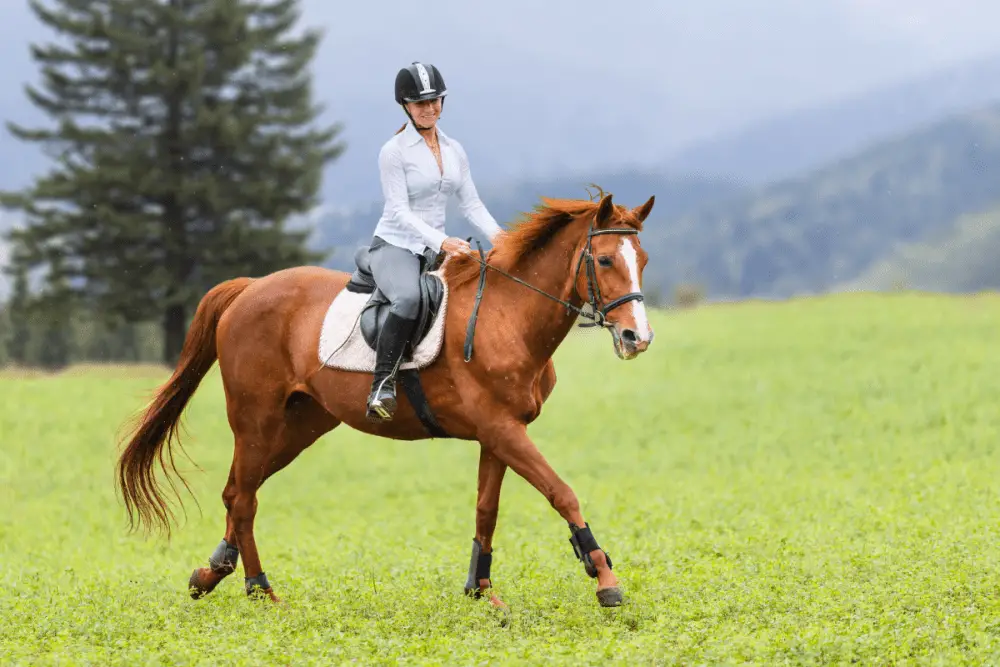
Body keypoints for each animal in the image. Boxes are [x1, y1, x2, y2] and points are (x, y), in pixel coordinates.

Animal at [115, 189, 656, 610]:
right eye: (604, 260)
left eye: (643, 261)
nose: (638, 338)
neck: (508, 315)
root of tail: (249, 289)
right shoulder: (502, 429)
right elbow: (562, 492)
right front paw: (605, 579)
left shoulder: (497, 434)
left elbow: (487, 510)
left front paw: (482, 592)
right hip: (256, 420)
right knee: (244, 498)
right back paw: (261, 592)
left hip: (301, 425)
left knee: (237, 492)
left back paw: (212, 573)